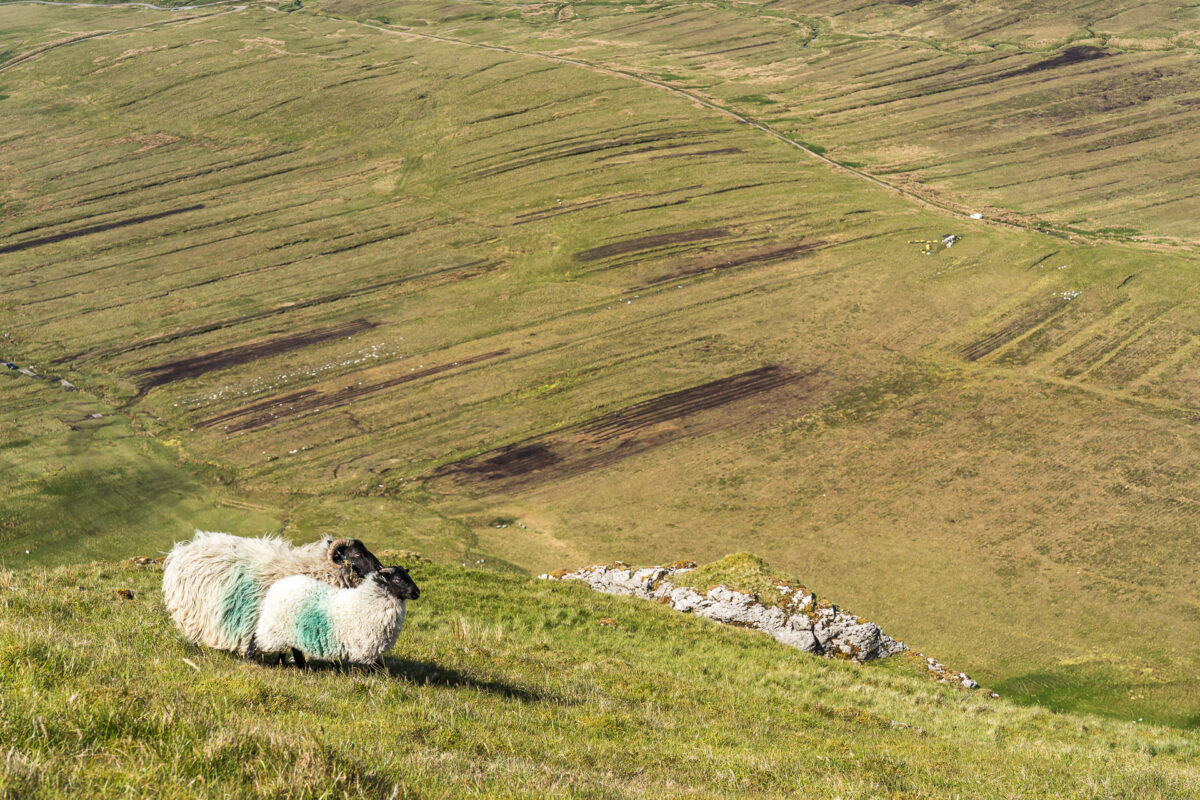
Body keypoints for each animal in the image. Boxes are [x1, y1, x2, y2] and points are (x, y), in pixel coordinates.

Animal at [250, 566, 419, 667]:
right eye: (398, 579)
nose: (417, 593)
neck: (366, 600)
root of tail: (277, 585)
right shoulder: (364, 643)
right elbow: (371, 666)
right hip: (273, 627)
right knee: (257, 639)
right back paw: (252, 658)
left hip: (288, 630)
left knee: (293, 648)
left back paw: (300, 666)